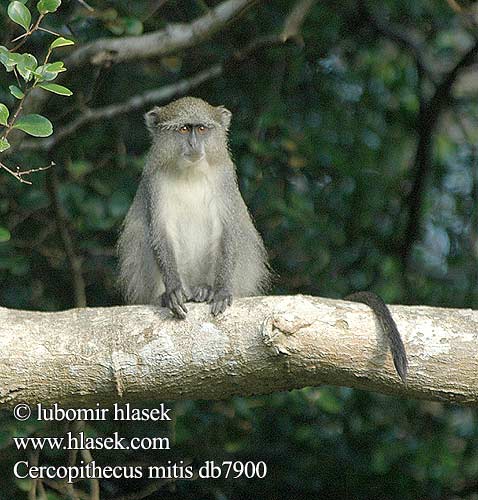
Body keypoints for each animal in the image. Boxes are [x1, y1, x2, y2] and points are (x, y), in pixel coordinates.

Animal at [117, 95, 270, 318]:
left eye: (201, 129)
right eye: (183, 129)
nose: (193, 144)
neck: (190, 171)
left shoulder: (223, 176)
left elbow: (227, 229)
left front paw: (221, 291)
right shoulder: (155, 180)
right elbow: (160, 231)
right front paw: (172, 291)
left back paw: (206, 290)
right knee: (142, 232)